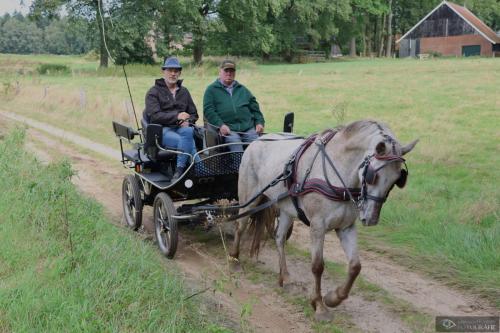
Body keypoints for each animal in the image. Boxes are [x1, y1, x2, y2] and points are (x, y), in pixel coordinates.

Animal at [230, 119, 418, 320]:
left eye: (397, 180)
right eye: (373, 175)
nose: (371, 218)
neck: (339, 172)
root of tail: (257, 141)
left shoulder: (346, 227)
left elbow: (355, 266)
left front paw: (334, 298)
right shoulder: (317, 226)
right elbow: (318, 266)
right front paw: (319, 305)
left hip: (287, 208)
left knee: (279, 238)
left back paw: (285, 277)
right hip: (249, 198)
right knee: (240, 226)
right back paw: (234, 259)